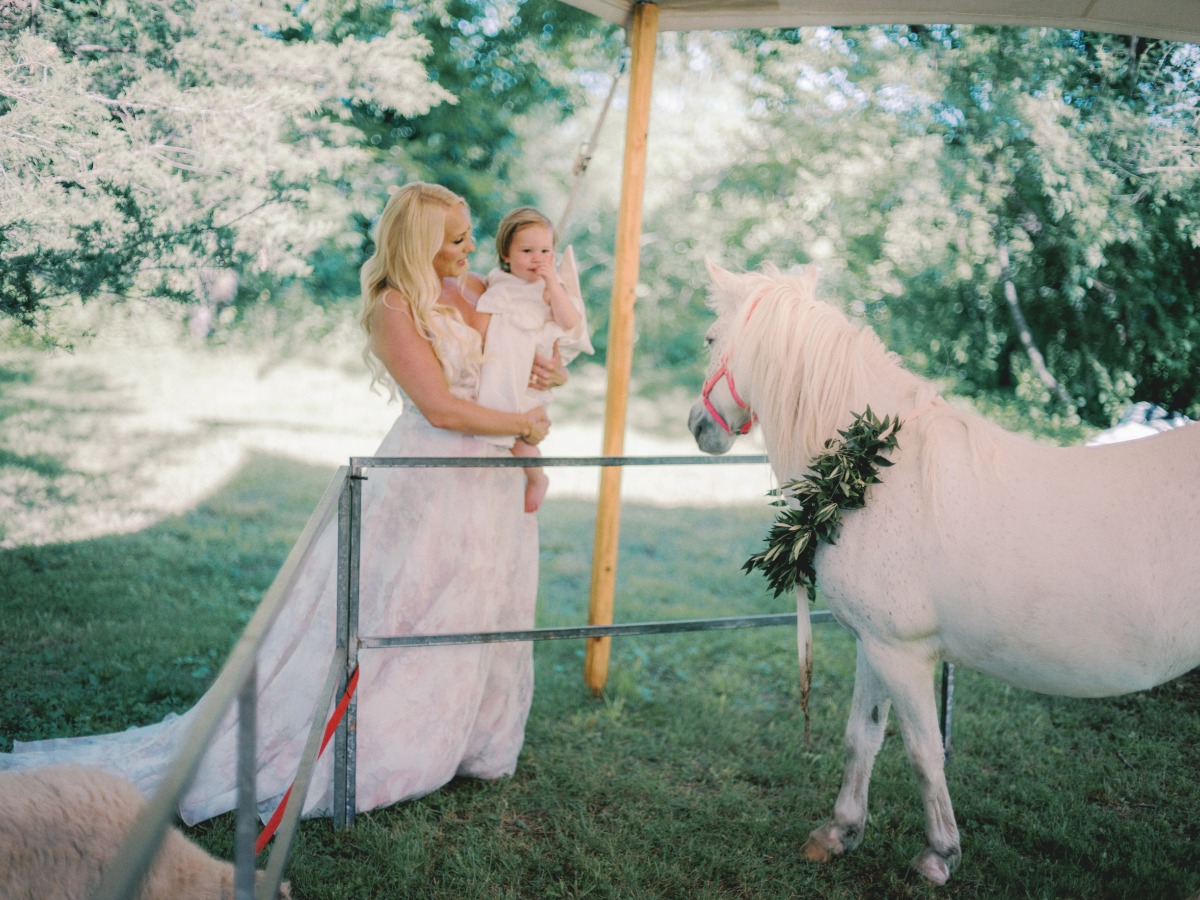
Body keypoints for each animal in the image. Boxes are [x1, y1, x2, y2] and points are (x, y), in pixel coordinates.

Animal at [686, 260, 1200, 888]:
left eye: (710, 339)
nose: (698, 427)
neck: (873, 472)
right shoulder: (874, 646)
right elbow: (862, 736)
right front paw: (839, 833)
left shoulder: (904, 655)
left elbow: (924, 753)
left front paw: (938, 855)